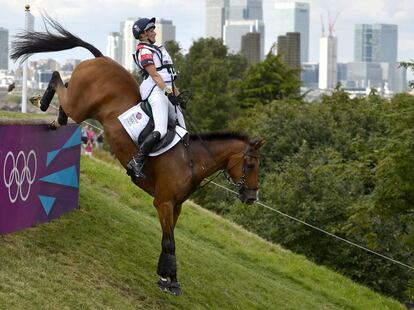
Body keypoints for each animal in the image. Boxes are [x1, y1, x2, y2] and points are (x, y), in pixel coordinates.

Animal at [12, 16, 266, 296]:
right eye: (250, 164)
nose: (251, 197)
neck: (191, 160)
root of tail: (101, 58)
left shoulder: (176, 206)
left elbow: (168, 239)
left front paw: (164, 275)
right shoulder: (163, 202)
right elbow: (170, 242)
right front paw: (172, 282)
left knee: (63, 90)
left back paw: (53, 114)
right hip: (80, 105)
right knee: (59, 80)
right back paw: (43, 103)